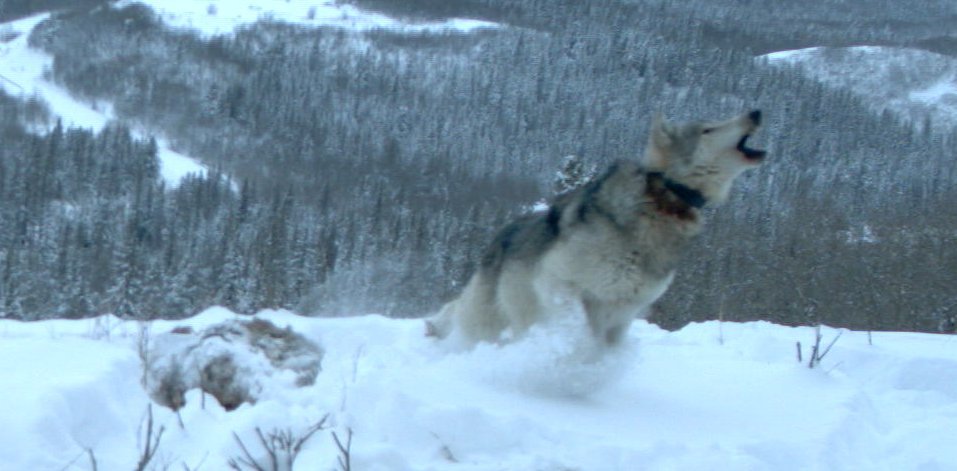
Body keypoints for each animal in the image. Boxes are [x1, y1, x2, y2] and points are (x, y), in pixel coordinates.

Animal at [427, 110, 767, 348]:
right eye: (709, 129)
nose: (756, 112)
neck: (663, 201)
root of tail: (500, 236)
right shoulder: (560, 283)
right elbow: (579, 332)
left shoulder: (625, 310)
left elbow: (605, 350)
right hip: (486, 320)